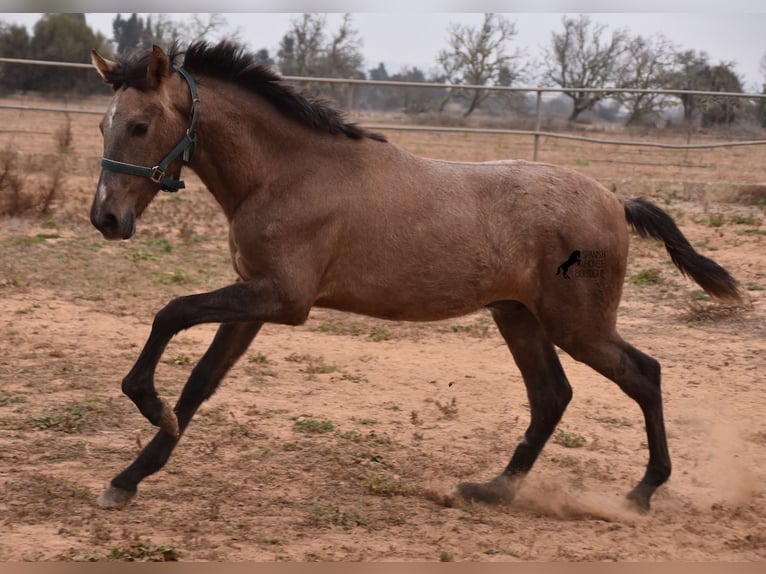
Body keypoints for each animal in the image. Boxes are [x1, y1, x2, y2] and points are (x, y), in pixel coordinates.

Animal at [90, 42, 744, 516]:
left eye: (141, 126)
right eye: (103, 126)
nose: (106, 219)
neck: (287, 174)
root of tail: (615, 199)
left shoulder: (282, 299)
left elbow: (172, 311)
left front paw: (146, 405)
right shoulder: (255, 300)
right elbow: (200, 382)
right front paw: (129, 477)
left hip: (577, 324)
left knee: (643, 374)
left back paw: (641, 493)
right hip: (519, 315)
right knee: (552, 395)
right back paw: (493, 490)